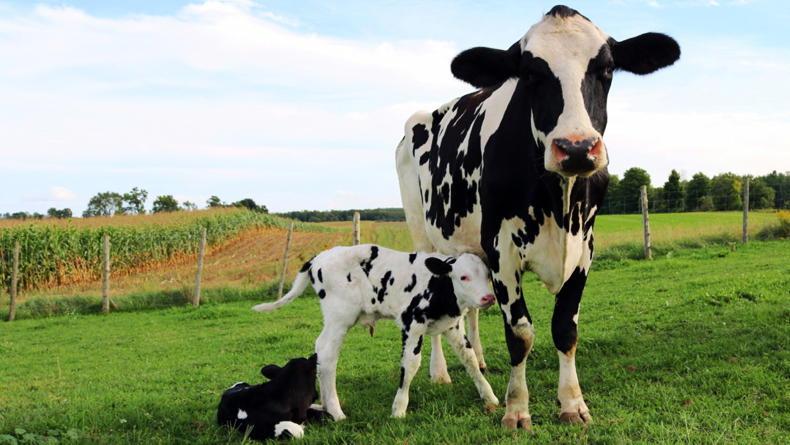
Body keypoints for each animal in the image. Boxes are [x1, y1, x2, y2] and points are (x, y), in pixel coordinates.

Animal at [252, 244, 500, 420]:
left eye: (487, 275)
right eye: (464, 276)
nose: (488, 297)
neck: (438, 286)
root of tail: (318, 258)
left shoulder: (452, 325)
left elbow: (470, 359)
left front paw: (489, 397)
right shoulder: (411, 324)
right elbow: (410, 364)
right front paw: (399, 409)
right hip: (339, 317)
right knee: (326, 353)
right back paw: (336, 411)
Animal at [395, 5, 680, 430]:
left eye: (607, 69)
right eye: (530, 74)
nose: (576, 147)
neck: (557, 202)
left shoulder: (585, 248)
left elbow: (565, 328)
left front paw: (572, 404)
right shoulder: (502, 250)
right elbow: (520, 333)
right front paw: (516, 408)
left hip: (468, 250)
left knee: (472, 310)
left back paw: (479, 358)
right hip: (423, 234)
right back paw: (440, 372)